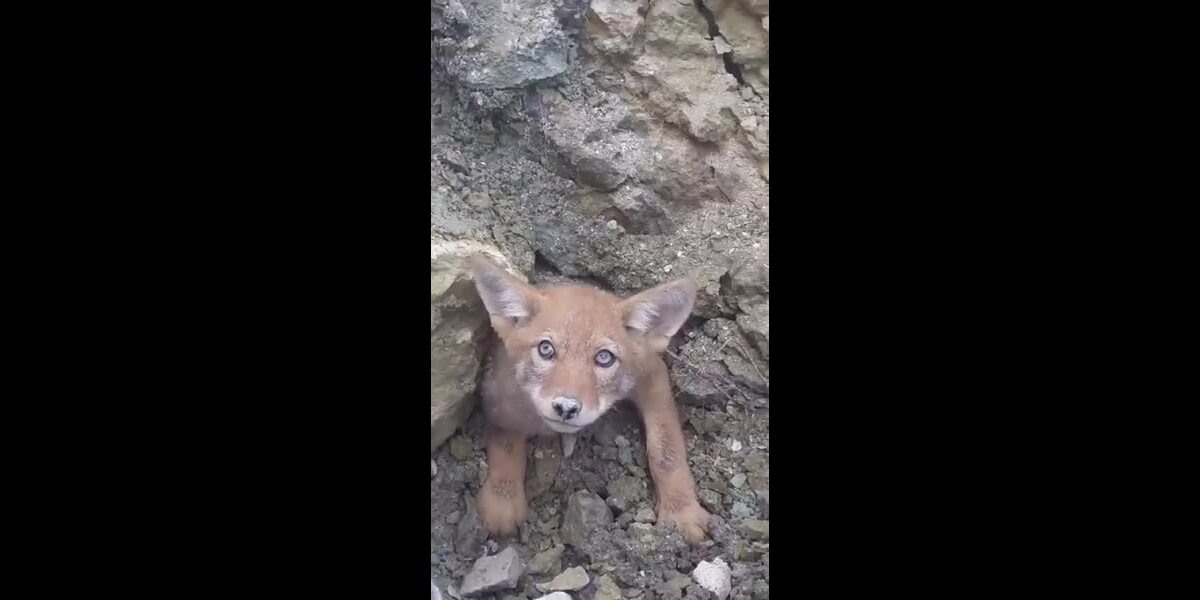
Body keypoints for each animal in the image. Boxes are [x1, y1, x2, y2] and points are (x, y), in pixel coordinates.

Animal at [466, 254, 712, 545]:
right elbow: (506, 444)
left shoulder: (652, 375)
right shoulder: (498, 392)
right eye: (546, 349)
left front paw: (681, 509)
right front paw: (502, 497)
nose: (566, 408)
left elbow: (666, 450)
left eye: (604, 357)